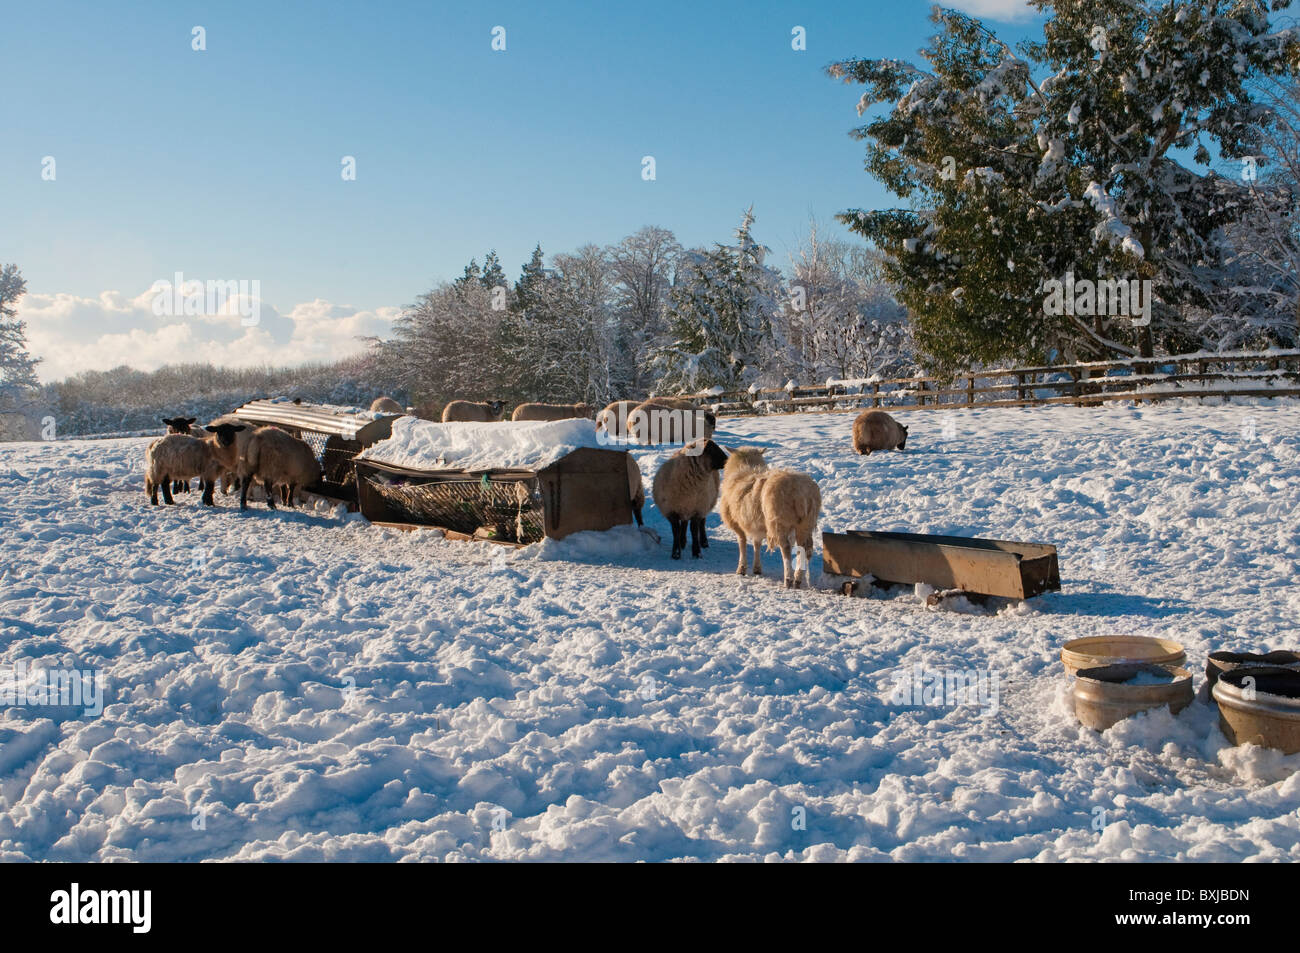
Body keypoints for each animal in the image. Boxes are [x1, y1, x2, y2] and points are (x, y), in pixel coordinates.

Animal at [717, 447, 816, 587]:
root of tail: (800, 492)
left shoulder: (736, 523)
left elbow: (742, 543)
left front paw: (741, 568)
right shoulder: (755, 524)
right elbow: (756, 544)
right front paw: (757, 568)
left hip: (779, 522)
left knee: (786, 549)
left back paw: (788, 579)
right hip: (805, 524)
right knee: (805, 549)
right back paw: (798, 578)